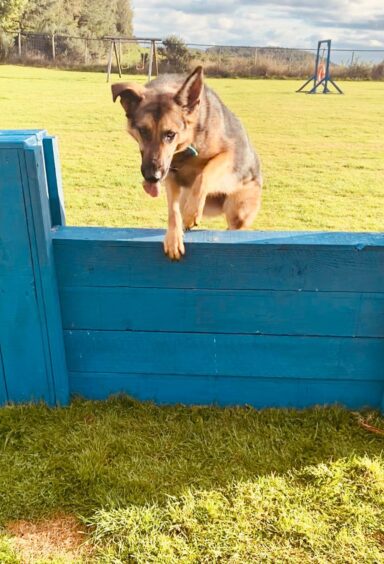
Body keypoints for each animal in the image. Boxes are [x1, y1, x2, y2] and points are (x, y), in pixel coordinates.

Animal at [111, 66, 260, 260]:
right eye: (143, 131)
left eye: (170, 134)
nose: (152, 177)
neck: (187, 146)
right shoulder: (170, 176)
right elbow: (173, 211)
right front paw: (173, 238)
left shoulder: (227, 154)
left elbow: (204, 174)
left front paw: (191, 214)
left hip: (238, 211)